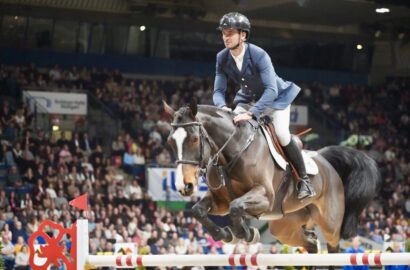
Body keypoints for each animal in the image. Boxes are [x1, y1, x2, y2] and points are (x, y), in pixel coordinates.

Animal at [163, 100, 382, 256]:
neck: (233, 150)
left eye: (194, 139)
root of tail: (325, 160)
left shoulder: (265, 197)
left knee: (333, 245)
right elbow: (198, 210)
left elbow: (236, 207)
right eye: (170, 142)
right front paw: (226, 235)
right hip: (284, 227)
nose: (184, 186)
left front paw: (246, 233)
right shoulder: (220, 201)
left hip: (329, 223)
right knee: (311, 243)